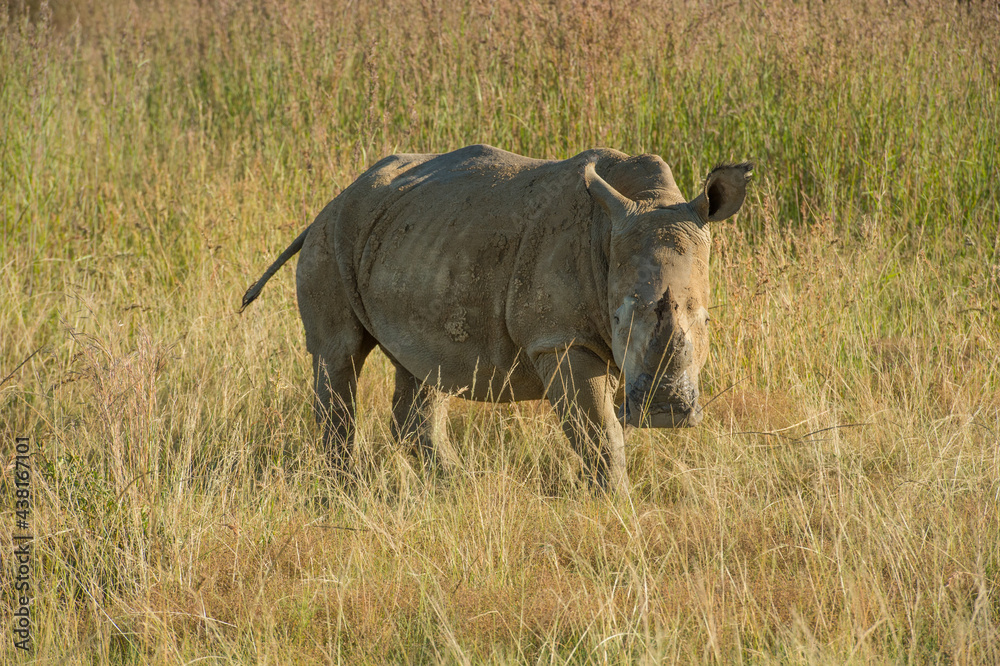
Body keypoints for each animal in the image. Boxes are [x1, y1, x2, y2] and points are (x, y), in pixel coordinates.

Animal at [241, 144, 751, 492]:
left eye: (706, 321)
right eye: (620, 316)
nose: (666, 413)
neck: (644, 202)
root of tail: (332, 199)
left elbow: (601, 426)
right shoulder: (560, 338)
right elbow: (599, 432)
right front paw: (617, 501)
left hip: (418, 236)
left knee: (424, 366)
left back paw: (452, 487)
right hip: (333, 236)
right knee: (339, 354)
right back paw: (345, 489)